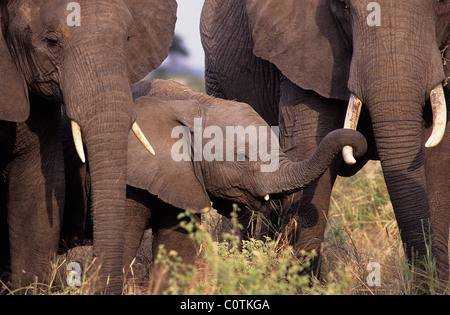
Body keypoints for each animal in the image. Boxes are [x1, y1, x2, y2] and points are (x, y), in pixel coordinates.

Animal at [202, 0, 450, 284]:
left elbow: (437, 162)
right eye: (344, 7)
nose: (359, 144)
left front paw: (435, 284)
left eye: (441, 4)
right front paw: (299, 284)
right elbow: (309, 149)